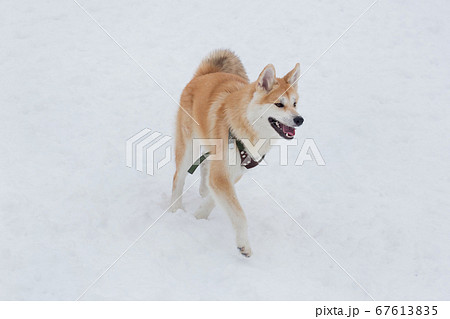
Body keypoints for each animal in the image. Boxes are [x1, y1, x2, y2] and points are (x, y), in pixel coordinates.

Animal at [171, 49, 304, 258]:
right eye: (279, 104)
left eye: (295, 103)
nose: (300, 119)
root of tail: (204, 75)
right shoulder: (222, 173)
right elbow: (239, 214)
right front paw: (244, 245)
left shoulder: (237, 171)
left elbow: (215, 199)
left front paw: (200, 215)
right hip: (188, 147)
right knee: (179, 177)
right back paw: (175, 209)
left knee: (205, 164)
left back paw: (203, 189)